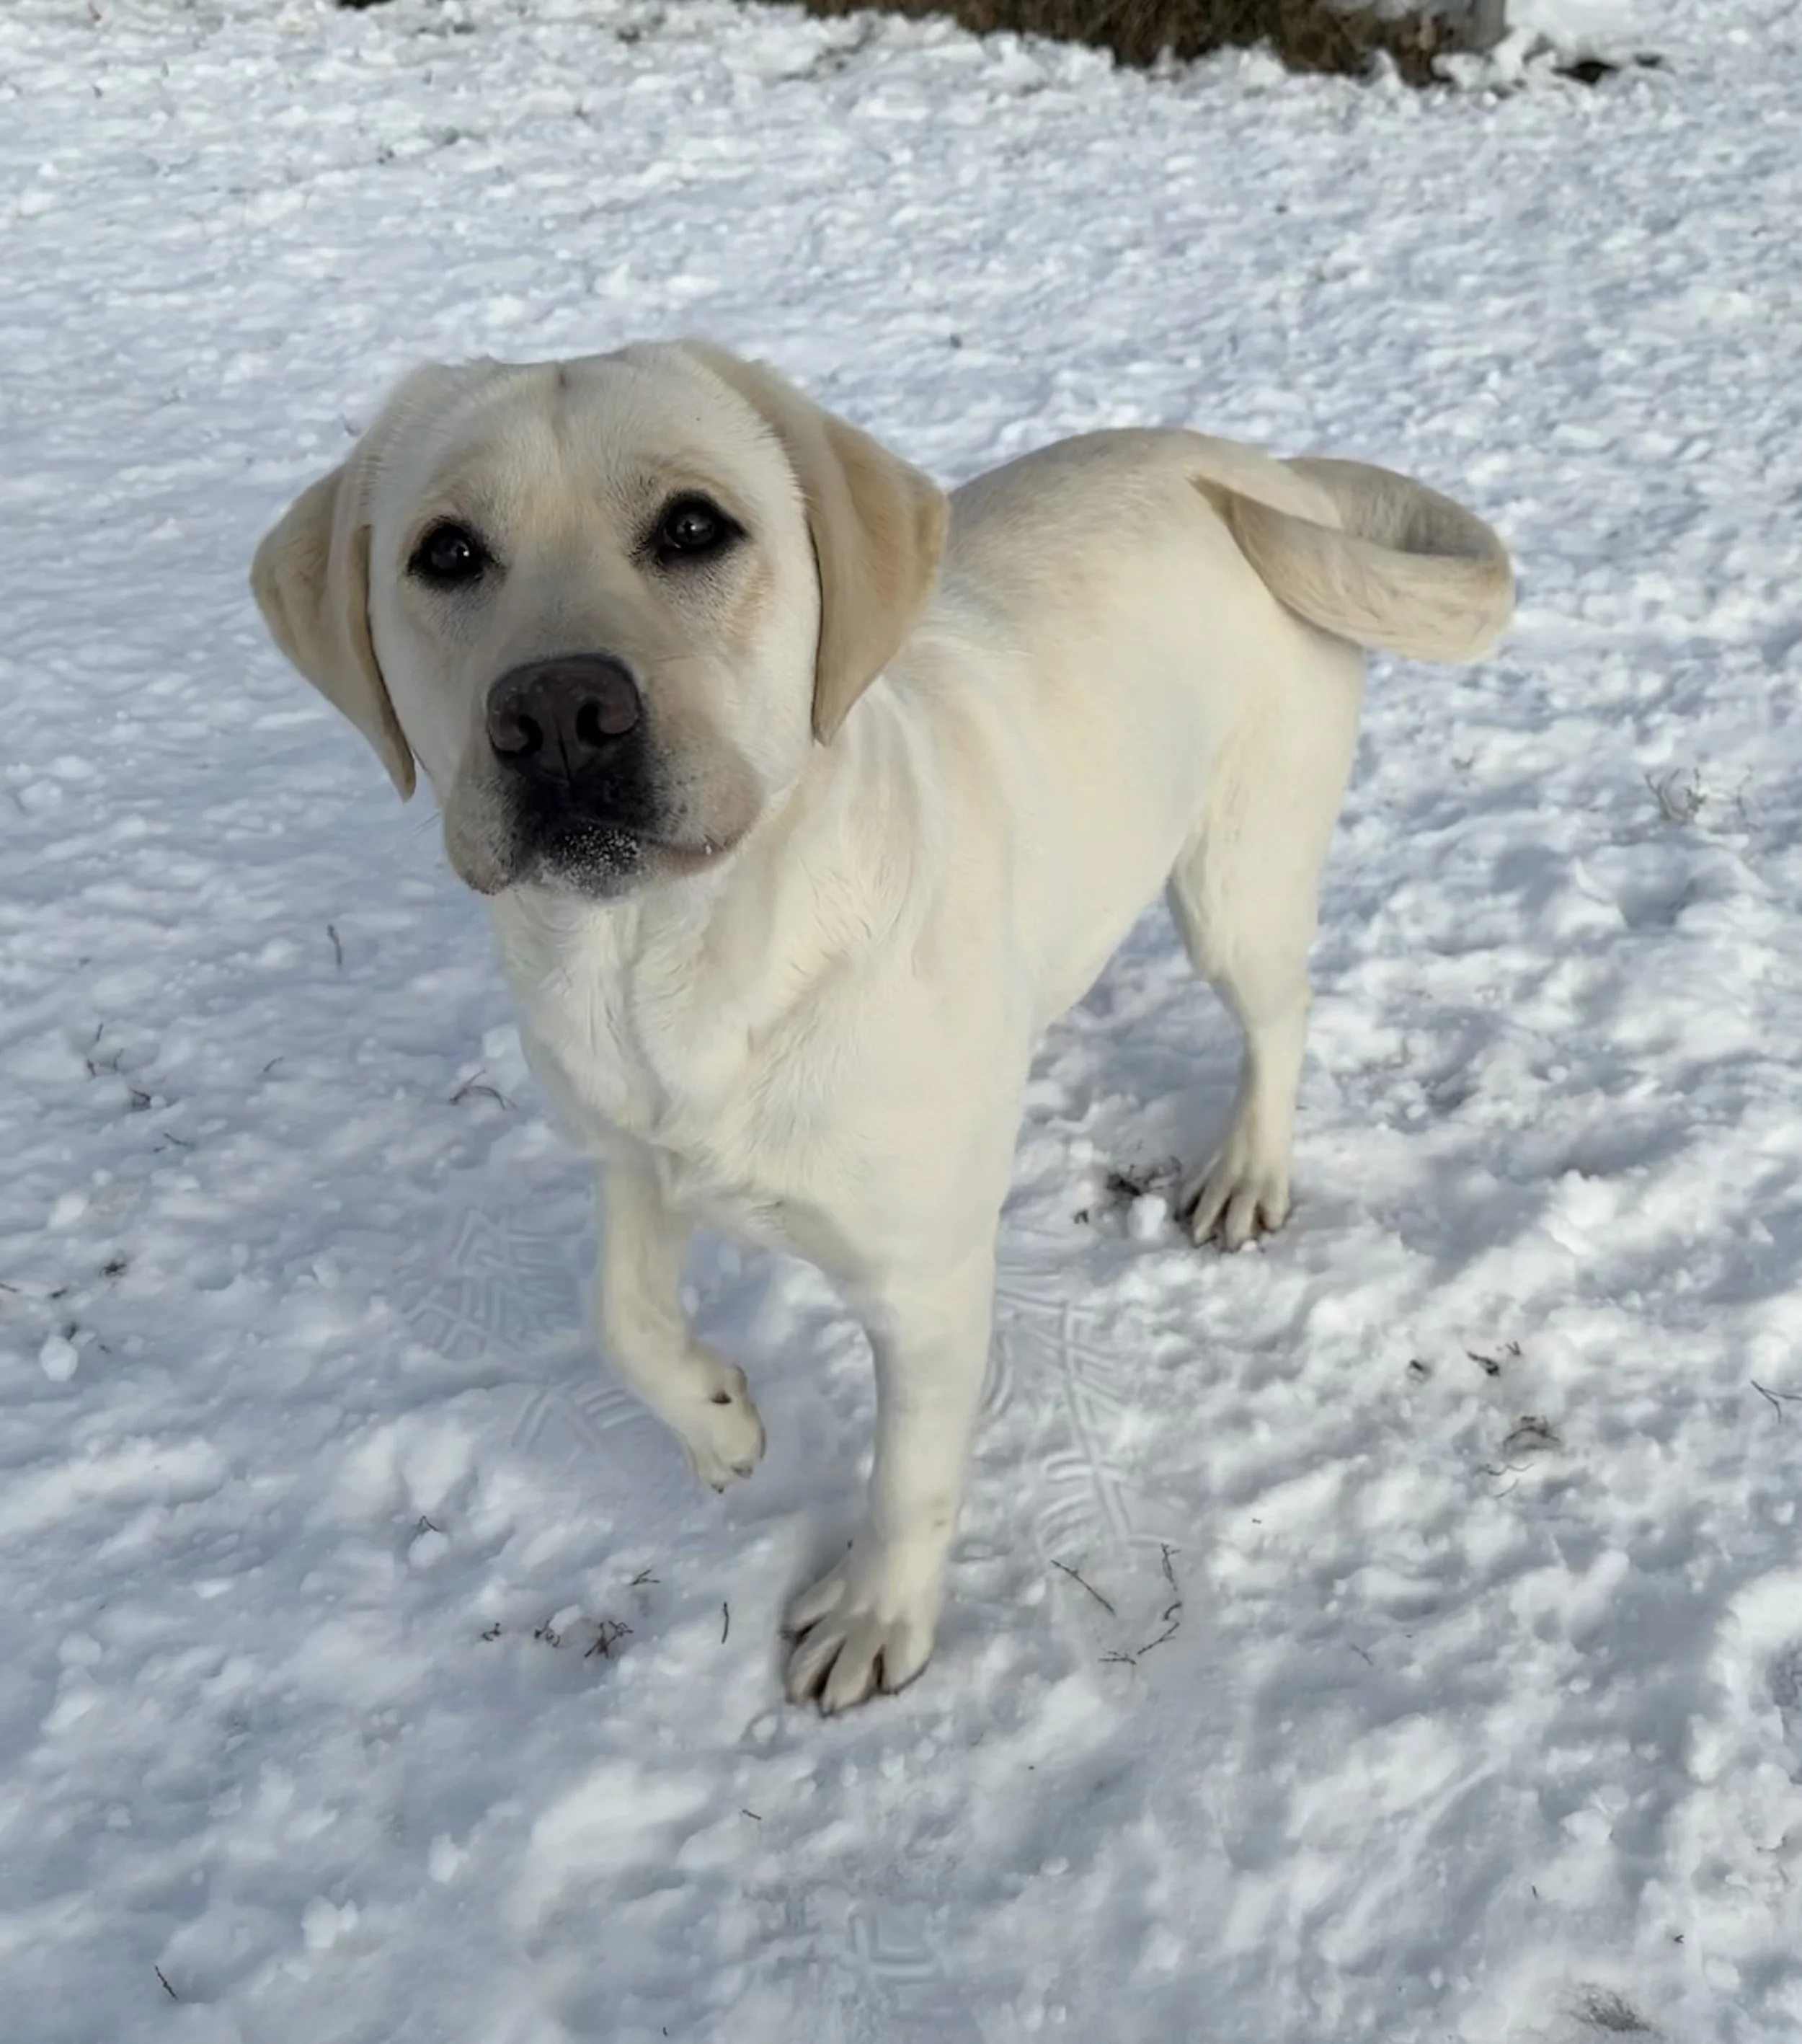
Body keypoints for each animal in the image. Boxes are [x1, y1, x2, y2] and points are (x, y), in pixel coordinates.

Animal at [251, 340, 1512, 1711]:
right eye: (447, 553)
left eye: (694, 527)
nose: (559, 713)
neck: (673, 968)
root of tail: (1271, 470)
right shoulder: (630, 1157)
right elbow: (619, 1318)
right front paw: (720, 1420)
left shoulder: (926, 1280)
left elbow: (910, 1474)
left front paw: (872, 1618)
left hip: (1239, 877)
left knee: (1283, 1013)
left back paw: (1247, 1169)